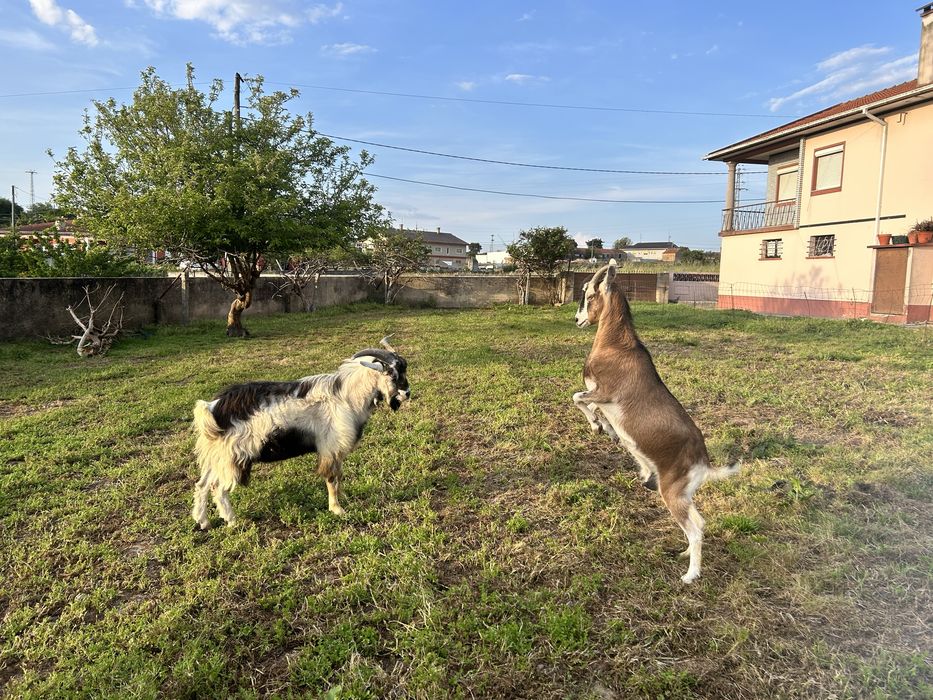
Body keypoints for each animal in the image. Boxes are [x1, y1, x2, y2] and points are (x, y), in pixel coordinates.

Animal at [190, 337, 410, 529]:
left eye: (404, 369)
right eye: (392, 374)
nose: (407, 393)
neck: (346, 396)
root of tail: (212, 408)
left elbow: (339, 477)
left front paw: (343, 499)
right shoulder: (331, 447)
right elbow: (332, 478)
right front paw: (337, 509)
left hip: (218, 457)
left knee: (202, 484)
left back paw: (204, 522)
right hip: (234, 457)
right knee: (218, 488)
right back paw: (232, 521)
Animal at [573, 262, 739, 583]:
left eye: (589, 295)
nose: (577, 319)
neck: (617, 344)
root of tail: (703, 462)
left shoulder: (604, 392)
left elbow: (577, 398)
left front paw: (597, 427)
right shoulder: (603, 399)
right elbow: (591, 406)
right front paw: (607, 430)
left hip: (672, 493)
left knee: (695, 529)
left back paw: (690, 575)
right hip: (684, 494)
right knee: (700, 522)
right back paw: (685, 554)